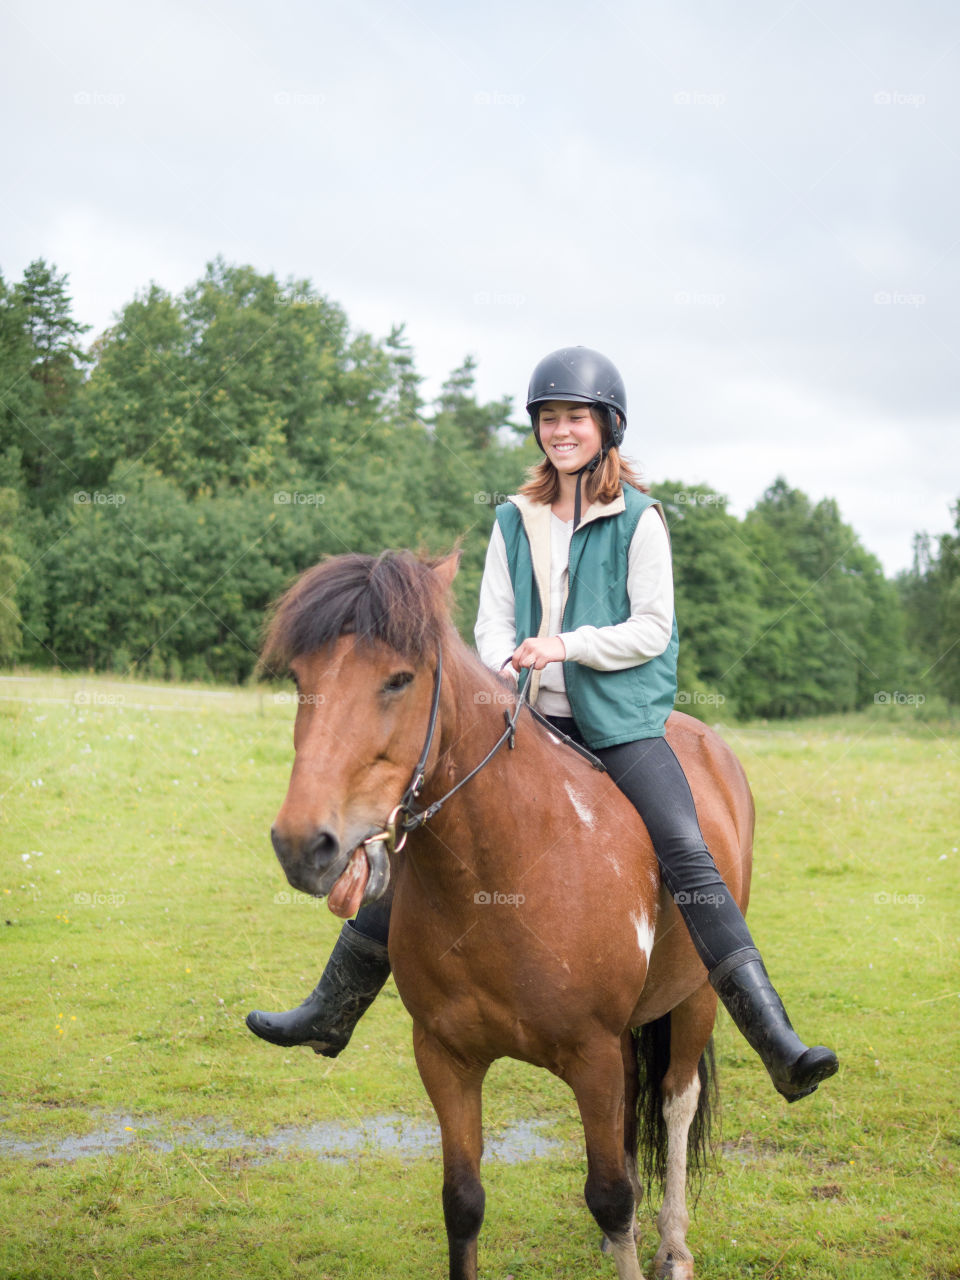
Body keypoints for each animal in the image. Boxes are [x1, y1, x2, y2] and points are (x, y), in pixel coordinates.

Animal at [263, 550, 757, 1280]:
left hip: (694, 998)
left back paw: (672, 1245)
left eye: (400, 679)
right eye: (301, 679)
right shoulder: (444, 1057)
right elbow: (463, 1201)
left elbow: (609, 1195)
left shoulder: (591, 1057)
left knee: (675, 1102)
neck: (502, 877)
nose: (304, 844)